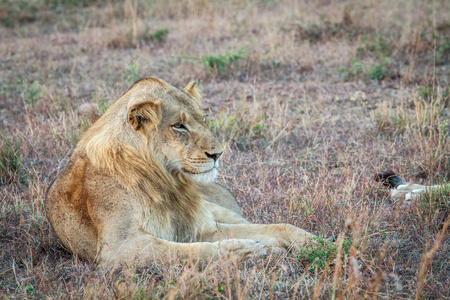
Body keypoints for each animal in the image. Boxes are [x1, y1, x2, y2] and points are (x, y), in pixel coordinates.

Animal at [44, 77, 312, 264]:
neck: (167, 180)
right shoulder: (119, 248)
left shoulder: (200, 225)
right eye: (179, 126)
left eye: (204, 119)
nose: (218, 154)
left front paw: (313, 241)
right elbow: (190, 251)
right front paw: (245, 250)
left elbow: (274, 227)